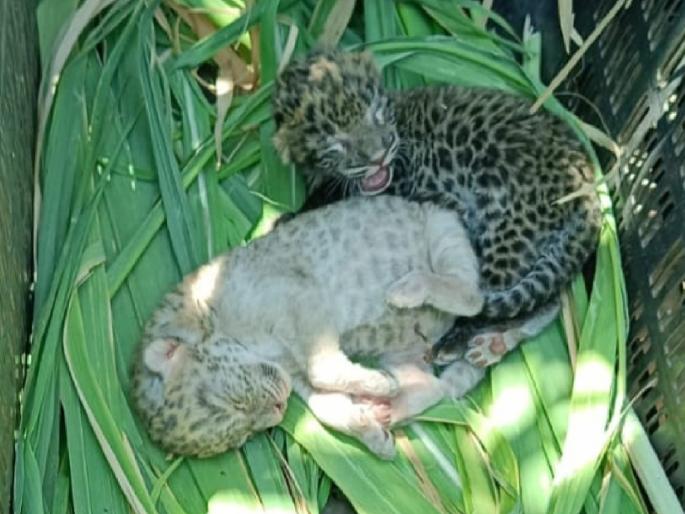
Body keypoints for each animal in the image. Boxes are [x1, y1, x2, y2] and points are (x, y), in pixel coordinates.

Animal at [131, 195, 489, 460]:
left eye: (230, 402)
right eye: (243, 435)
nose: (278, 412)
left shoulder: (301, 299)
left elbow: (322, 368)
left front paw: (379, 385)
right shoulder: (292, 371)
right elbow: (324, 406)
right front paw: (371, 432)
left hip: (441, 226)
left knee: (472, 295)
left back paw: (407, 291)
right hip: (400, 354)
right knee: (435, 386)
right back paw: (390, 409)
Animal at [272, 49, 602, 366]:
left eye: (376, 114)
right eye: (336, 141)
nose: (380, 155)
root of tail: (588, 183)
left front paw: (290, 217)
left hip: (507, 229)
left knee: (481, 299)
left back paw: (453, 340)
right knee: (544, 301)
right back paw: (494, 345)